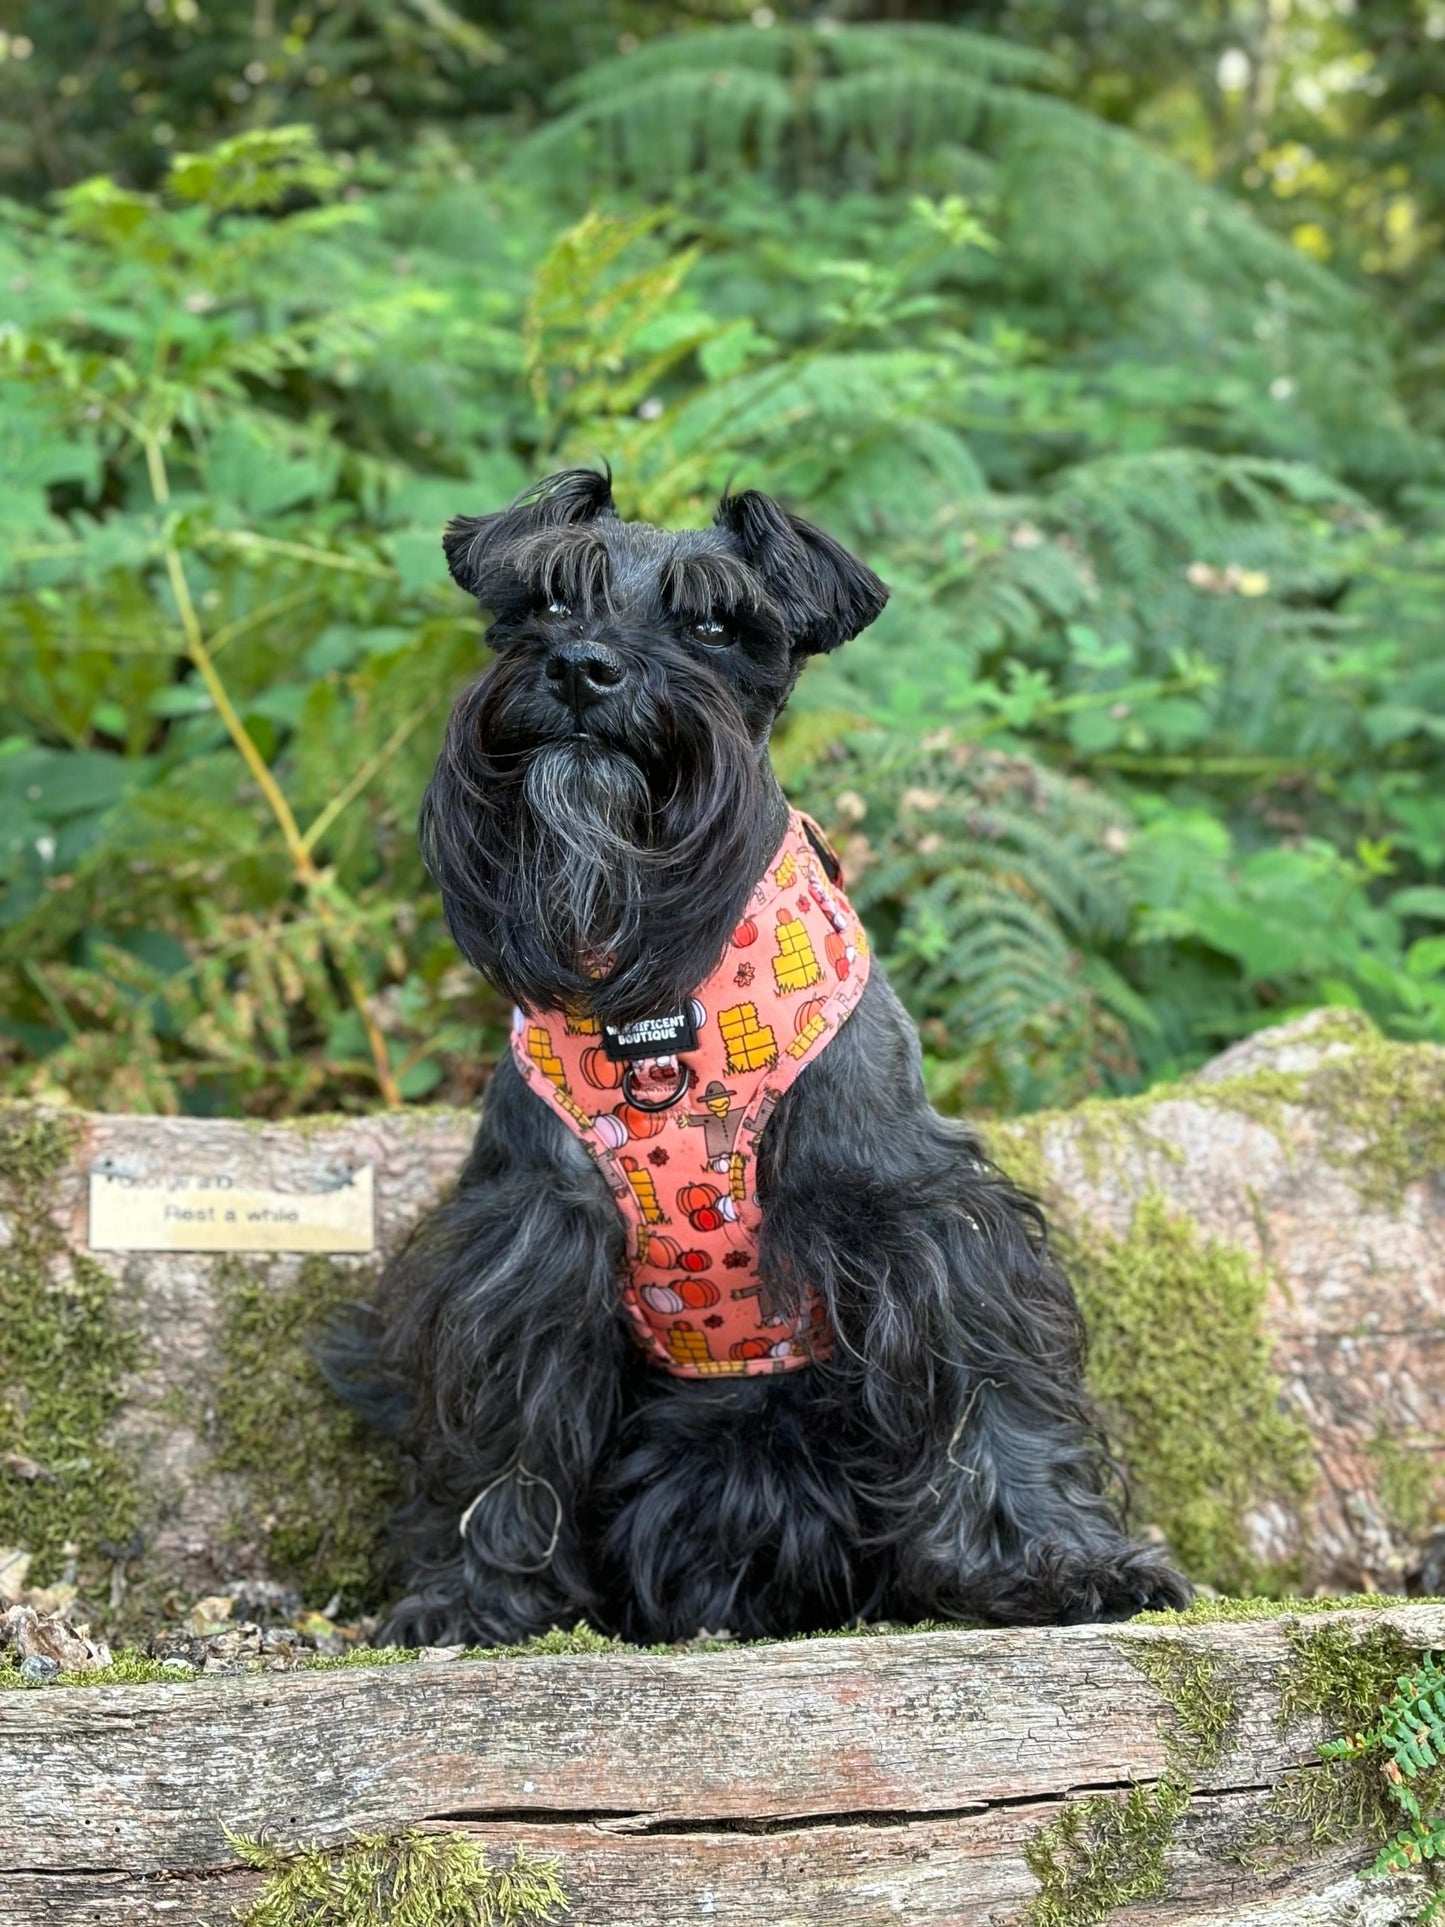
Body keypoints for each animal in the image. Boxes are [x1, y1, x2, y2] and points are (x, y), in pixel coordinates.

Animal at [337, 466, 1186, 1641]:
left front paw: (1062, 1565)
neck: (655, 997)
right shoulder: (529, 1231)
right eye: (547, 598)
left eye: (710, 623)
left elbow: (985, 1382)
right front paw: (471, 1593)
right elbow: (503, 1427)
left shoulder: (918, 1210)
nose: (582, 667)